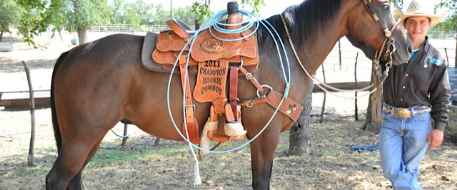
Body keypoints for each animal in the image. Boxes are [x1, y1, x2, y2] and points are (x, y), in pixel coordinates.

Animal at [44, 0, 412, 189]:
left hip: (89, 139)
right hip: (81, 139)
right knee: (57, 180)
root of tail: (73, 52)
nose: (409, 47)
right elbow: (261, 182)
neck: (283, 52)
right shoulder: (265, 138)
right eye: (385, 5)